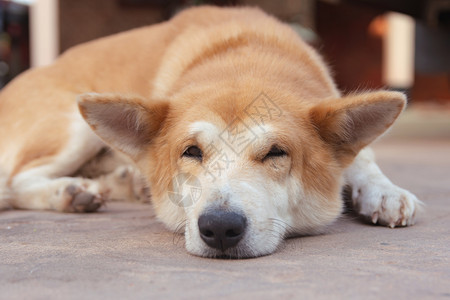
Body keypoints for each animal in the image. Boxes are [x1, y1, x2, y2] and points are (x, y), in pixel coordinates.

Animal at [0, 5, 422, 258]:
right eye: (191, 152)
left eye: (276, 153)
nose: (219, 227)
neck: (244, 57)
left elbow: (364, 158)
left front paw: (385, 192)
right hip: (72, 124)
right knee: (15, 181)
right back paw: (69, 192)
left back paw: (122, 183)